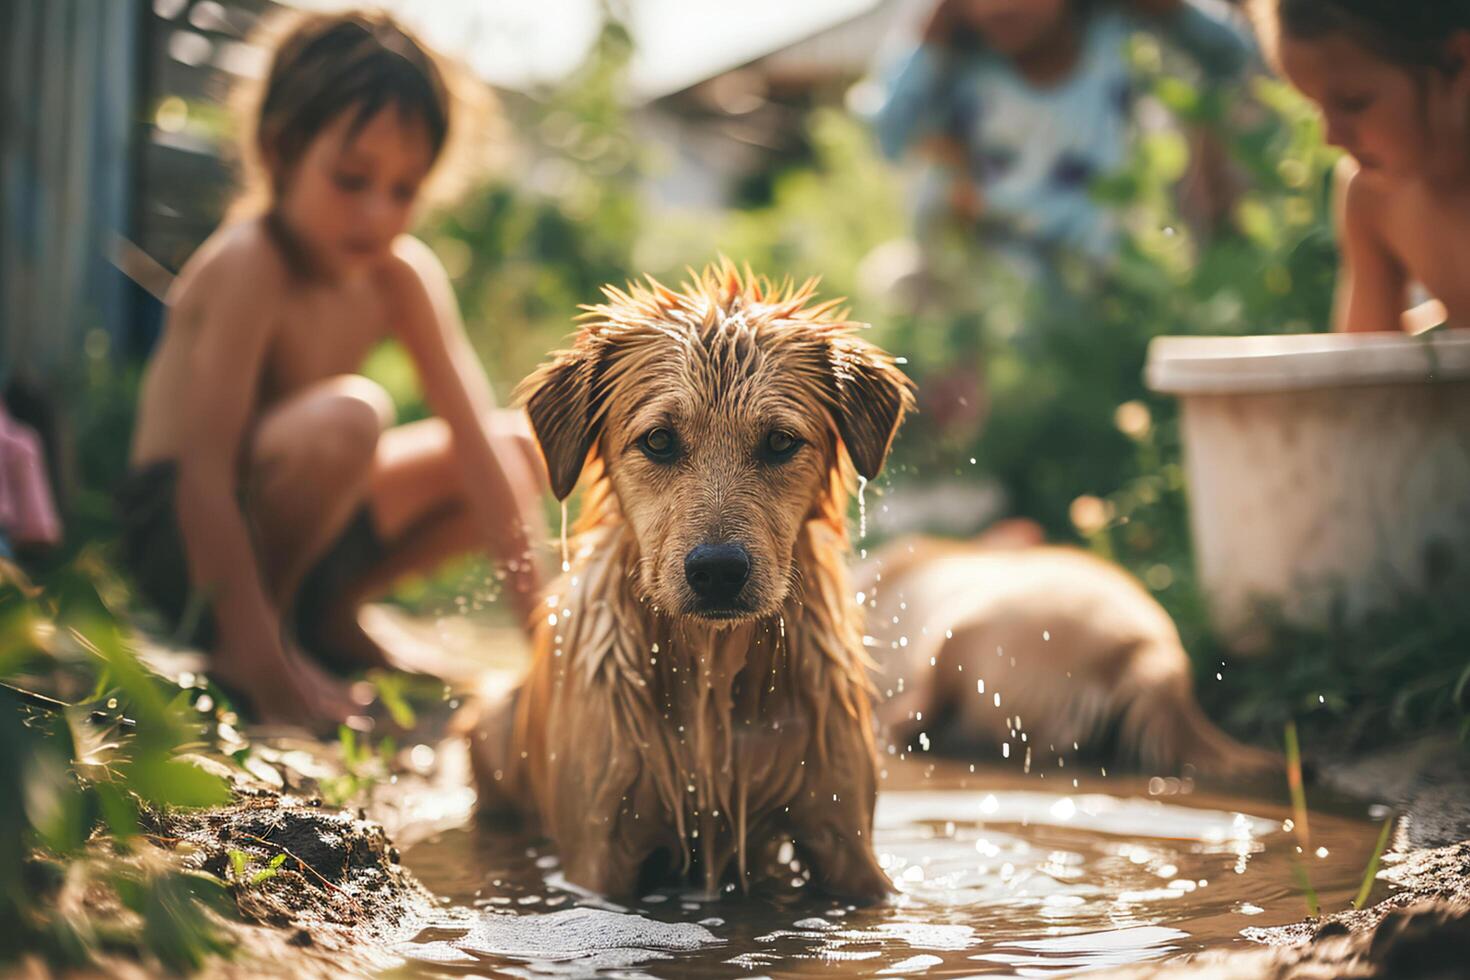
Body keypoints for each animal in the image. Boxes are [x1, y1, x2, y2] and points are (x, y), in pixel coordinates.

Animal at [467, 262, 905, 905]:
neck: (712, 673)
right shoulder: (600, 854)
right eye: (658, 440)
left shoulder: (847, 845)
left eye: (780, 441)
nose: (717, 571)